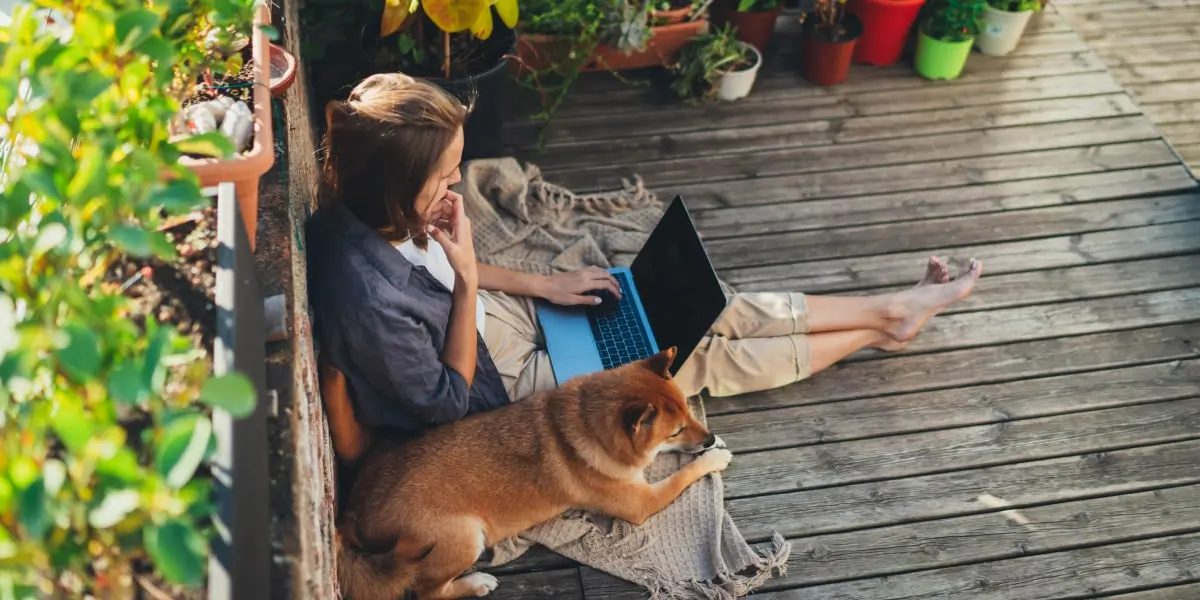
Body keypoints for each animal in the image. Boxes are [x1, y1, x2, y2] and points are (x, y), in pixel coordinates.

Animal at [328, 348, 729, 600]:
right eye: (675, 432)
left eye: (688, 413)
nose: (708, 437)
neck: (587, 423)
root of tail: (353, 516)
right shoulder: (641, 503)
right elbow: (682, 475)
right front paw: (713, 458)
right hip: (465, 536)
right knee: (429, 593)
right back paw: (476, 583)